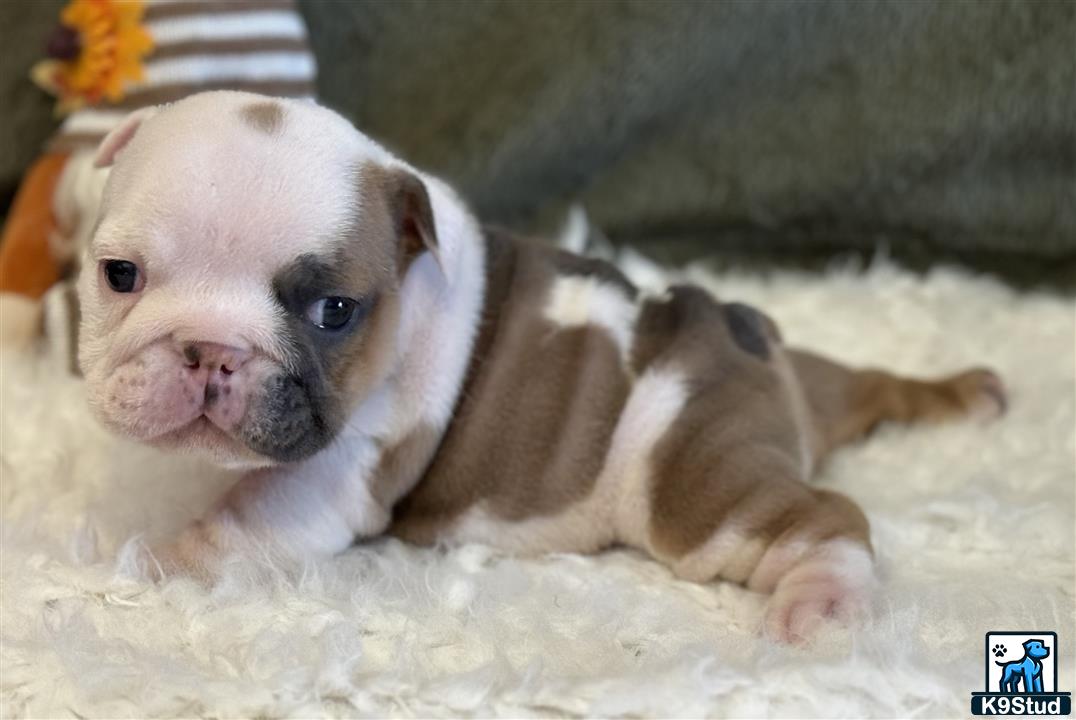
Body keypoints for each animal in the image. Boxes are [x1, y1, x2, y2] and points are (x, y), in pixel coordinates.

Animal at [79, 91, 1002, 641]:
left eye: (333, 311)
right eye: (118, 274)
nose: (211, 349)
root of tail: (747, 339)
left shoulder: (332, 470)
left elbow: (238, 526)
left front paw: (154, 563)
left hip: (695, 473)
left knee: (818, 515)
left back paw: (824, 602)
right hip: (799, 388)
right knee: (864, 385)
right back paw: (964, 393)